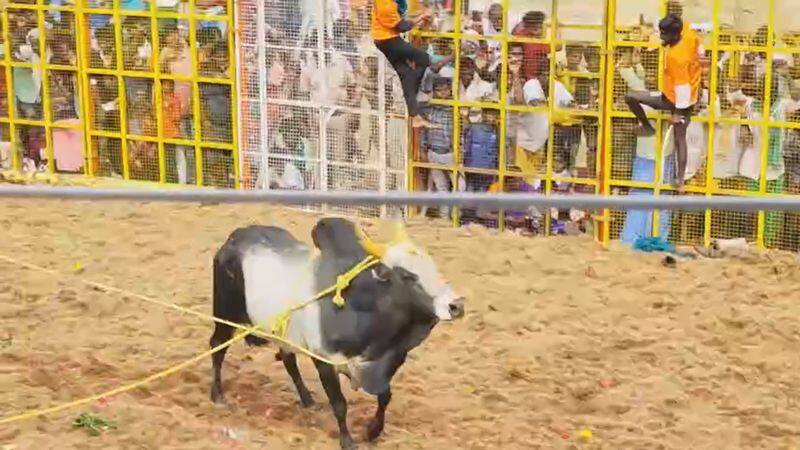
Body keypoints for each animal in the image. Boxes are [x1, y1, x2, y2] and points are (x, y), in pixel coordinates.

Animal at [209, 217, 466, 446]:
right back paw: (217, 395)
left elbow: (385, 396)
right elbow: (339, 404)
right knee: (216, 347)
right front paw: (347, 441)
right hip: (225, 314)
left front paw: (373, 431)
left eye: (433, 267)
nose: (456, 306)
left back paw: (306, 399)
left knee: (288, 359)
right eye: (408, 276)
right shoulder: (324, 359)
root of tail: (235, 238)